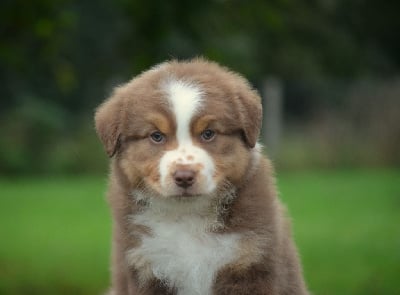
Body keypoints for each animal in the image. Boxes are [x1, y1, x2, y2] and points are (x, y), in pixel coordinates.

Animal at [95, 59, 308, 294]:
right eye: (156, 136)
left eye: (208, 134)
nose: (184, 176)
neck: (188, 216)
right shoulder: (145, 267)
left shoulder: (250, 262)